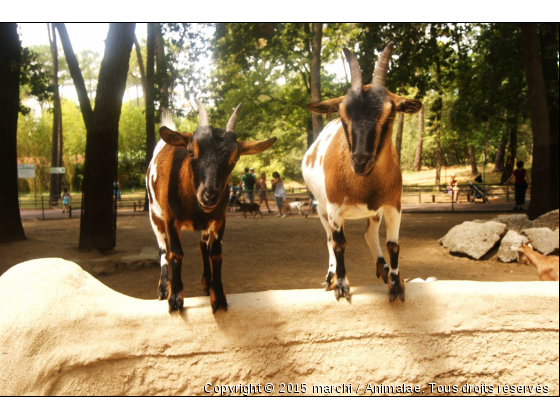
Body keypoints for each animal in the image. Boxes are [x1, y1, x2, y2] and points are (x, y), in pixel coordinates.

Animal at [145, 101, 274, 312]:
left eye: (235, 158)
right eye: (191, 151)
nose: (209, 195)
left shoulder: (219, 220)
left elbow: (215, 254)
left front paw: (219, 296)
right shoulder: (171, 219)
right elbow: (175, 253)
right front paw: (175, 299)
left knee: (202, 247)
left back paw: (206, 284)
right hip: (154, 215)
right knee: (163, 249)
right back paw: (164, 288)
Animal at [304, 44, 422, 304]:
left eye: (391, 113)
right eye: (342, 114)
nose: (360, 161)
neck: (362, 185)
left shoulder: (393, 205)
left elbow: (393, 244)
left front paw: (396, 284)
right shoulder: (335, 209)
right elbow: (339, 245)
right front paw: (341, 285)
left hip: (374, 212)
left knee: (370, 235)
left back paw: (383, 268)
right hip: (321, 208)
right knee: (329, 239)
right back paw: (330, 276)